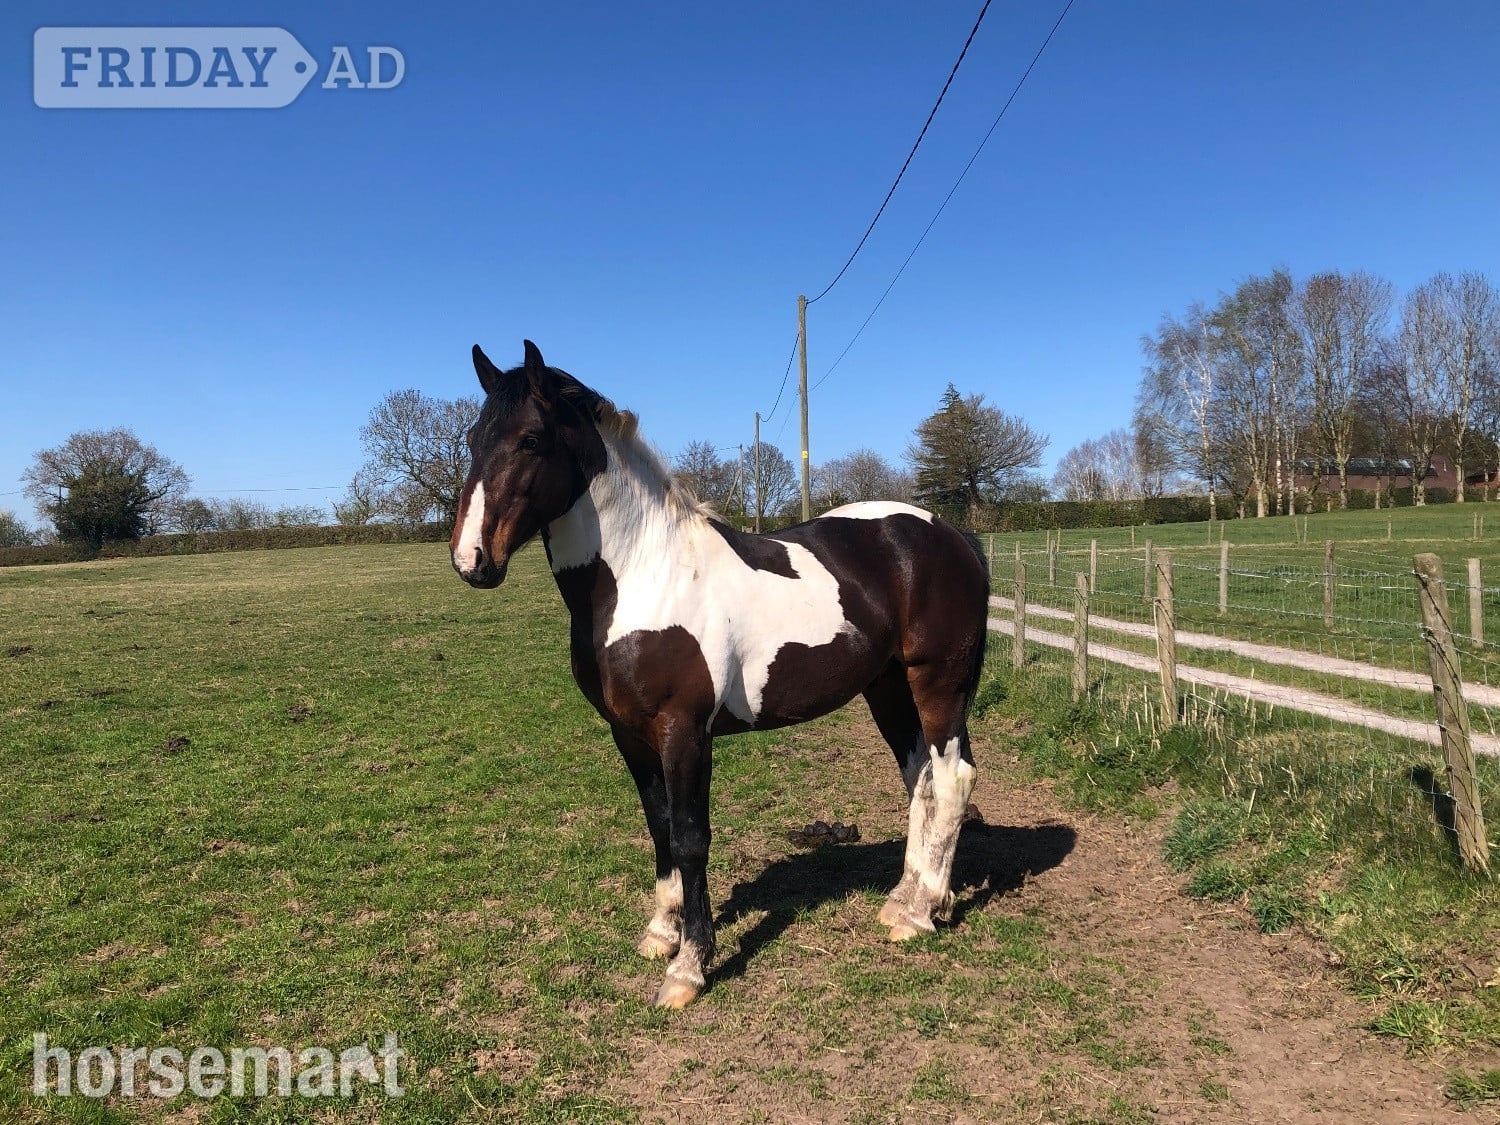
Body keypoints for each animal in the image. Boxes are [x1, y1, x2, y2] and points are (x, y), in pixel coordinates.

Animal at [450, 340, 991, 1008]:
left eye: (529, 439)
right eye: (473, 438)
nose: (471, 559)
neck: (643, 576)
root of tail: (948, 532)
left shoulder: (684, 731)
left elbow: (690, 837)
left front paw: (690, 965)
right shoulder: (628, 734)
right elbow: (658, 828)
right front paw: (662, 932)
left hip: (936, 681)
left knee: (953, 777)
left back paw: (922, 913)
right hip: (886, 687)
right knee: (920, 778)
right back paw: (904, 899)